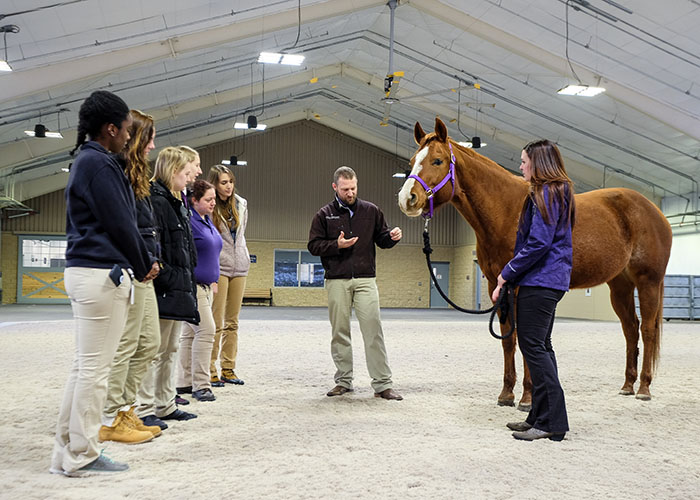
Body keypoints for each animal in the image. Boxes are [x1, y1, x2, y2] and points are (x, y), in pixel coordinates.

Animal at [400, 117, 672, 410]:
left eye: (437, 160)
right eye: (413, 161)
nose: (407, 199)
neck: (506, 210)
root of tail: (655, 210)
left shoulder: (520, 287)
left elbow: (523, 339)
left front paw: (528, 398)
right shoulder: (497, 285)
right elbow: (508, 341)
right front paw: (506, 394)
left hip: (648, 282)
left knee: (647, 329)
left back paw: (644, 388)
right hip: (620, 285)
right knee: (630, 329)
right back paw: (627, 386)